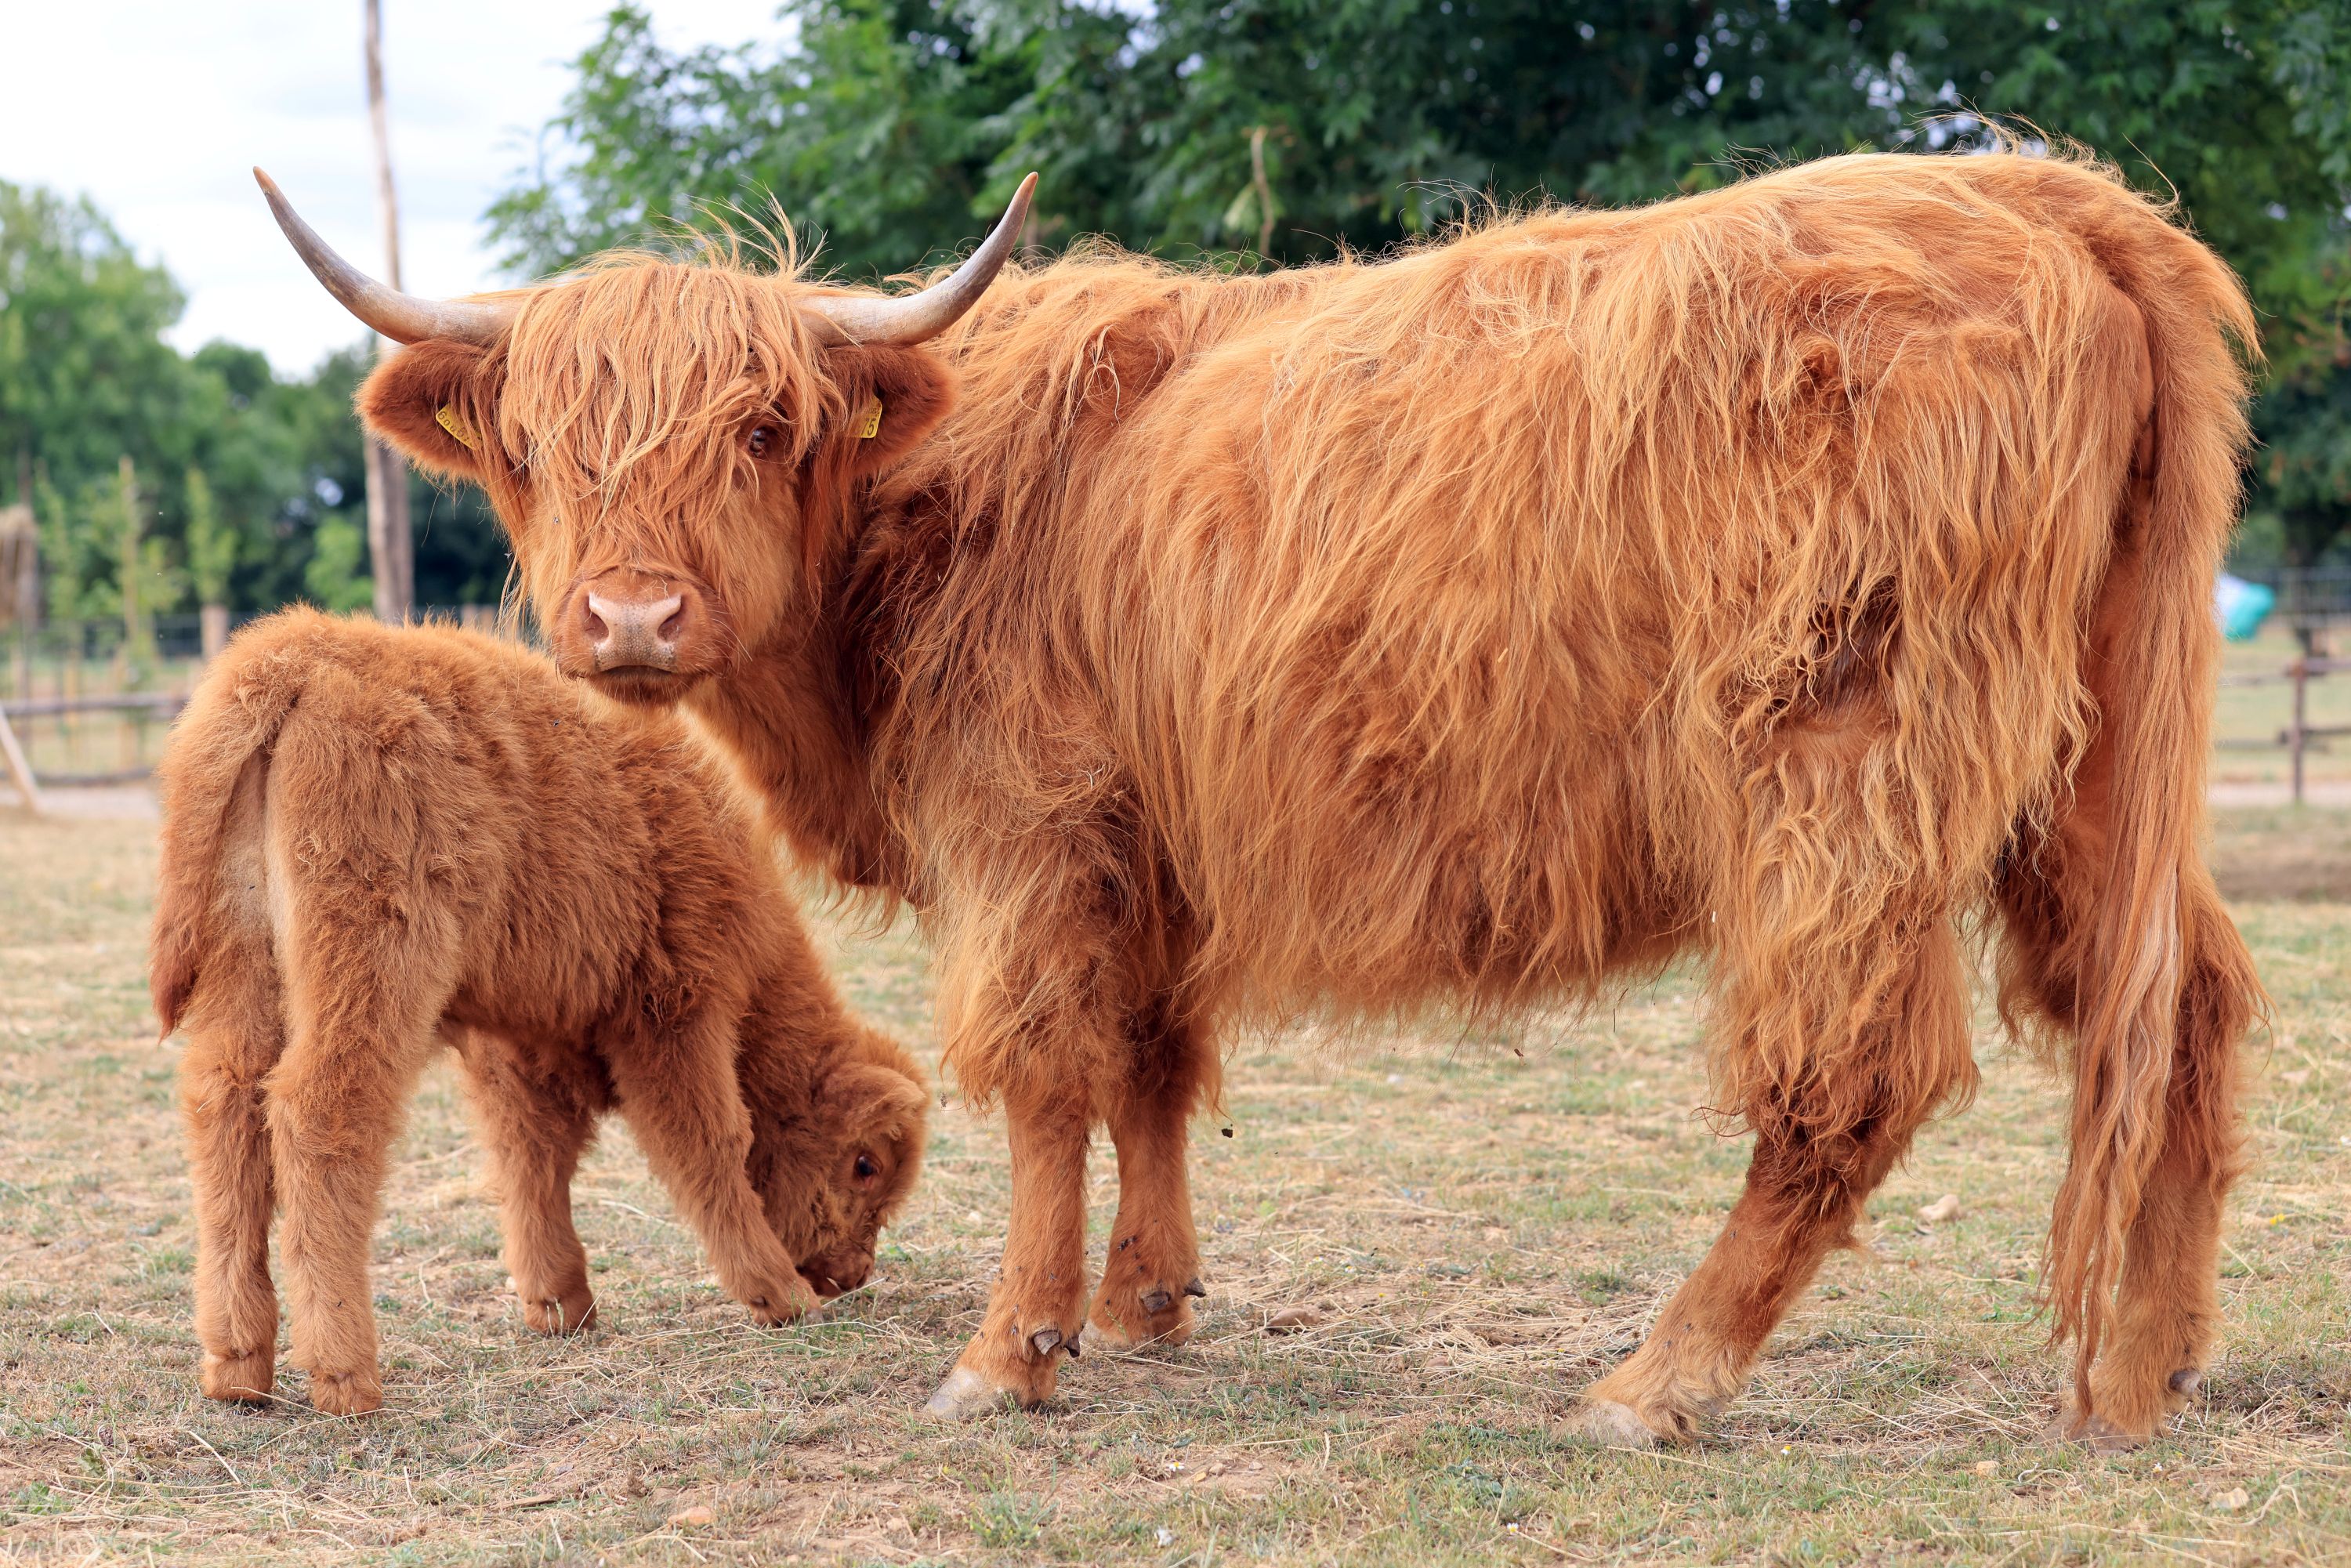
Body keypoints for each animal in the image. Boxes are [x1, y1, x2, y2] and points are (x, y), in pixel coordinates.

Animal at [151, 609, 928, 1414]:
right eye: (865, 1164)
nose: (849, 1274)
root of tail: (296, 656)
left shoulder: (518, 1041)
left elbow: (531, 1158)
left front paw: (561, 1305)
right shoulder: (674, 1014)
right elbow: (709, 1142)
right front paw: (777, 1294)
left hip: (243, 980)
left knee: (226, 1112)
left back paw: (237, 1368)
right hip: (373, 972)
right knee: (320, 1116)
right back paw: (347, 1378)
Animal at [260, 149, 2264, 1446]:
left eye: (762, 424)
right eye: (532, 446)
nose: (628, 618)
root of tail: (2048, 200)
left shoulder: (1028, 827)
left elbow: (1044, 1072)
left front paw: (1008, 1347)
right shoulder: (1149, 844)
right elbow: (1151, 1061)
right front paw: (1146, 1301)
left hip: (1843, 759)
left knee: (1853, 1073)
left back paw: (1656, 1382)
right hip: (2091, 772)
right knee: (2184, 1005)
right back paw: (2143, 1371)